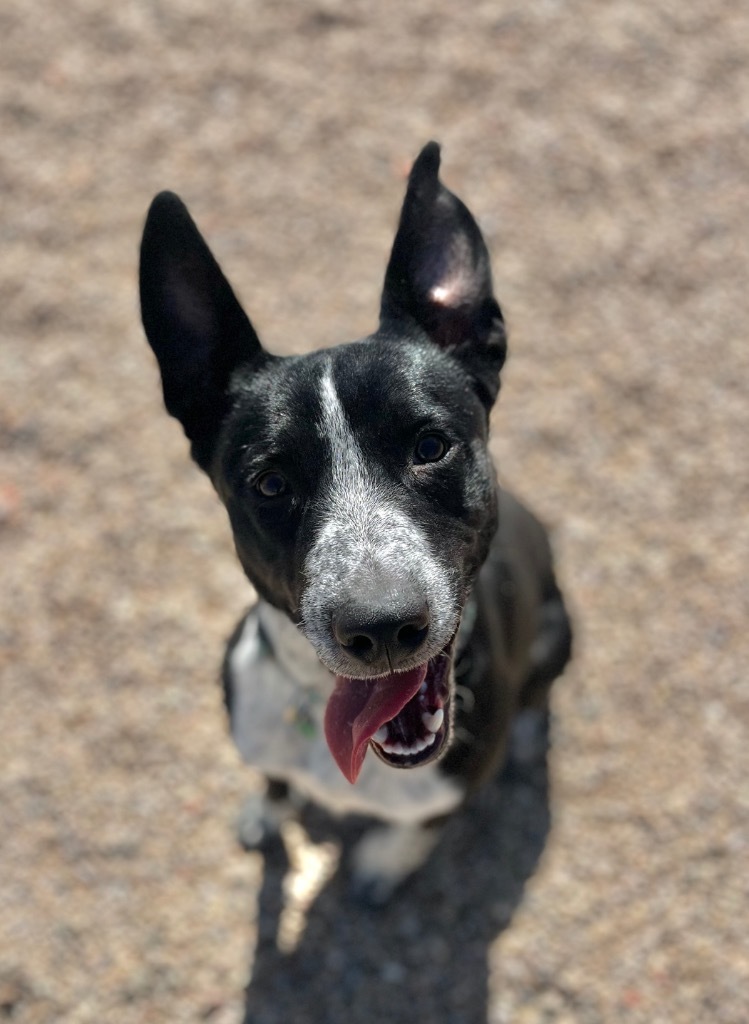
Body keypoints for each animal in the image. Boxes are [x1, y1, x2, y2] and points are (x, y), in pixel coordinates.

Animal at [140, 144, 573, 905]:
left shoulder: (451, 788)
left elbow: (420, 827)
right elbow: (273, 780)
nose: (382, 627)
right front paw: (266, 813)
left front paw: (382, 864)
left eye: (430, 445)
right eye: (270, 483)